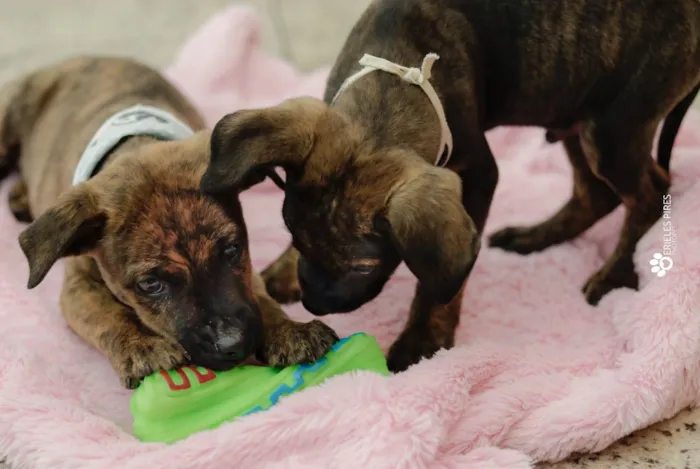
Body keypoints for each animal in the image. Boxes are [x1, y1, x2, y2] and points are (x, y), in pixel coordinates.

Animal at [0, 56, 340, 388]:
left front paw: (288, 329)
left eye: (232, 250)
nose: (233, 345)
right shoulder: (78, 286)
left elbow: (258, 296)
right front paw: (141, 346)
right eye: (150, 285)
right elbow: (108, 315)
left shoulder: (245, 272)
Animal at [197, 0, 700, 372]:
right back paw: (533, 238)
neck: (397, 78)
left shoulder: (477, 176)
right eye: (296, 238)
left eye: (363, 267)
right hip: (572, 105)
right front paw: (277, 276)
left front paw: (424, 338)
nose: (316, 304)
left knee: (650, 192)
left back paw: (615, 275)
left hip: (612, 127)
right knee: (596, 193)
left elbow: (438, 282)